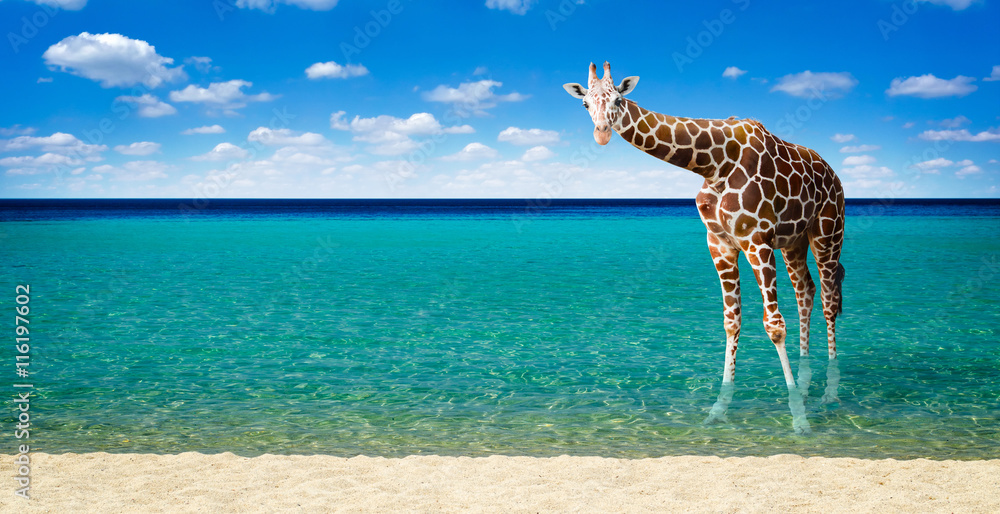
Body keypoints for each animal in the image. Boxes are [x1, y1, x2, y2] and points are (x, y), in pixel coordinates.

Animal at [564, 62, 845, 434]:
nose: (601, 133)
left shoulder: (756, 239)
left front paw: (798, 418)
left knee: (829, 297)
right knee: (806, 291)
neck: (713, 163)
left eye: (619, 100)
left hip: (828, 230)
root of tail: (834, 174)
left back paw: (829, 393)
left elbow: (773, 325)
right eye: (585, 104)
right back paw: (805, 374)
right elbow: (731, 321)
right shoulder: (720, 243)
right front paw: (719, 409)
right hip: (793, 241)